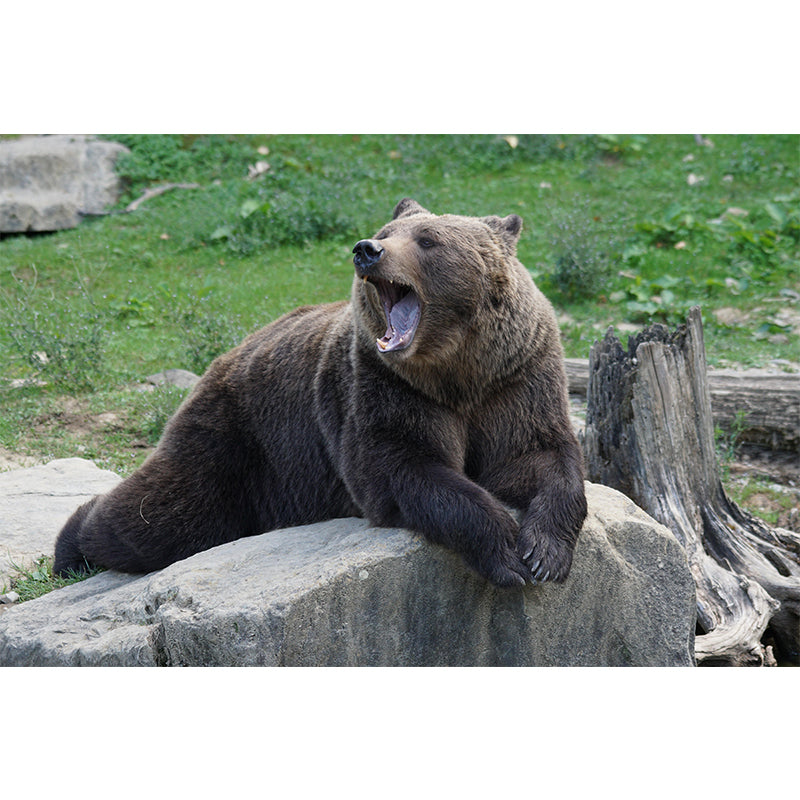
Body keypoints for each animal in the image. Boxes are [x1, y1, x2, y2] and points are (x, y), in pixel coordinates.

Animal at [54, 198, 587, 588]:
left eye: (428, 239)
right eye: (387, 232)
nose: (367, 249)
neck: (455, 370)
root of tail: (226, 356)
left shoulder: (516, 378)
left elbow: (539, 456)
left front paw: (544, 554)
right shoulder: (384, 387)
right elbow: (405, 468)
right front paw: (506, 553)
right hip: (239, 440)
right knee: (165, 516)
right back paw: (71, 546)